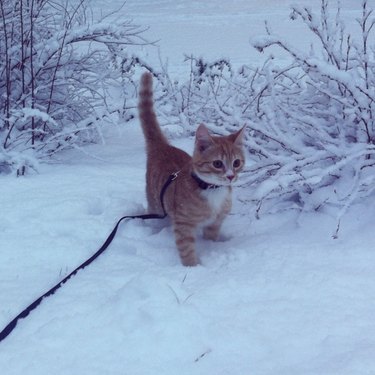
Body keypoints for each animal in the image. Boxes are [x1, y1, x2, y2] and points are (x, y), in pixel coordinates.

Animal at [139, 72, 247, 268]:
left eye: (236, 163)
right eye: (217, 164)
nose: (230, 176)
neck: (213, 191)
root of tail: (162, 147)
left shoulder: (215, 222)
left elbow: (211, 236)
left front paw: (211, 248)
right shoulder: (184, 225)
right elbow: (186, 249)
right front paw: (193, 269)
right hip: (156, 204)